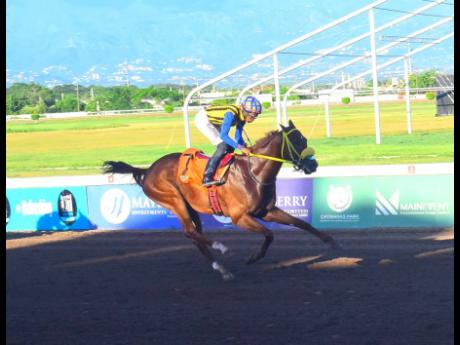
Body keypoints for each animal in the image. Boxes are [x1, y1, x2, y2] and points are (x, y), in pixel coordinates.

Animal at [103, 119, 338, 280]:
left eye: (304, 139)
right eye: (298, 141)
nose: (313, 165)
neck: (254, 172)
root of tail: (148, 169)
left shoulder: (267, 210)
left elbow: (301, 223)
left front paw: (331, 241)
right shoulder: (239, 217)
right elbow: (269, 234)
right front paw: (253, 257)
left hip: (191, 207)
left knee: (195, 235)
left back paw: (223, 269)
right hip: (174, 201)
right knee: (190, 232)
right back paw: (221, 248)